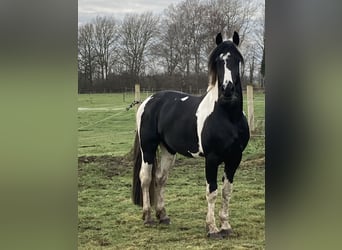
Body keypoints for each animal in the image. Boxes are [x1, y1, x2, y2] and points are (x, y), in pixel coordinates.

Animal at [131, 31, 248, 238]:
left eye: (237, 60)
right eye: (218, 61)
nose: (227, 89)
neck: (228, 117)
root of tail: (148, 101)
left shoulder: (235, 158)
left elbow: (226, 192)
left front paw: (226, 226)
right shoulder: (212, 158)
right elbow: (212, 192)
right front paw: (212, 229)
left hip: (168, 150)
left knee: (160, 178)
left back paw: (163, 215)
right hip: (148, 148)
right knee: (145, 178)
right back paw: (148, 217)